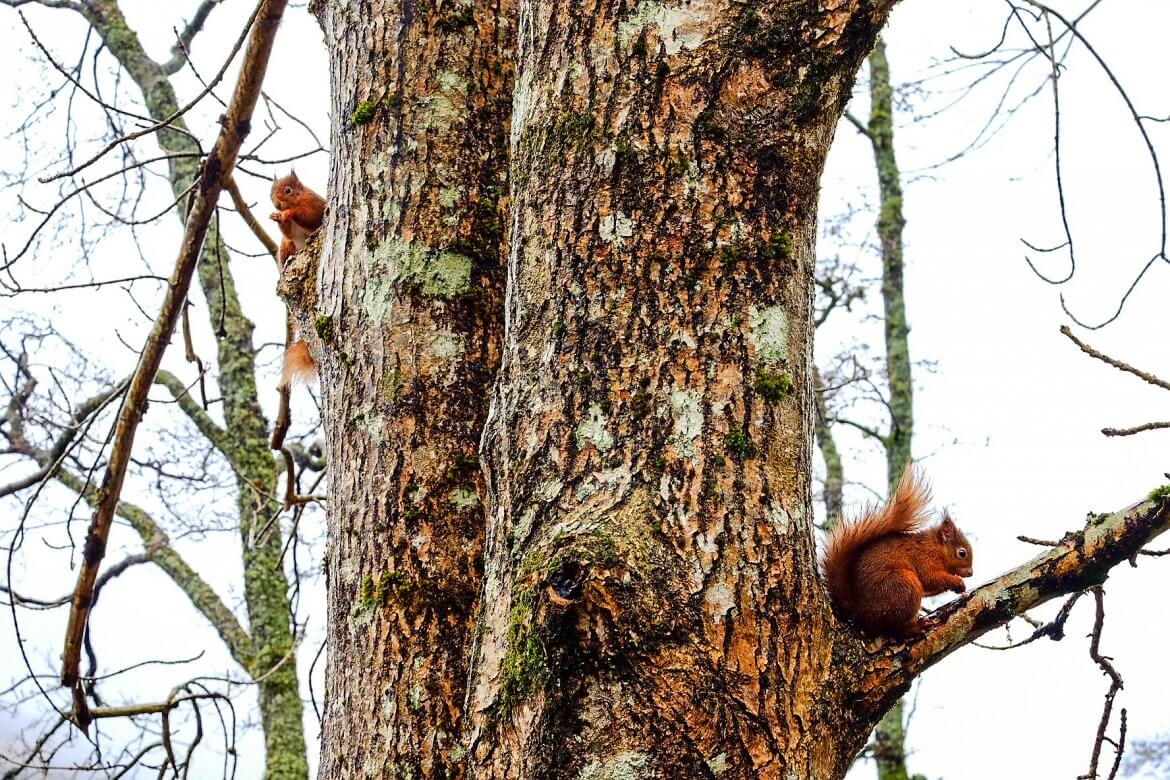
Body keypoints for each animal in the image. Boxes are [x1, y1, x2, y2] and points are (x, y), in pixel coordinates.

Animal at [270, 173, 327, 388]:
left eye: (288, 191)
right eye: (271, 192)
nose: (276, 204)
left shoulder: (314, 205)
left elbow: (308, 215)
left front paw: (287, 213)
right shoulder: (289, 235)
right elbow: (288, 232)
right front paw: (278, 217)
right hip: (286, 246)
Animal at [823, 467, 978, 636]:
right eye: (962, 553)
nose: (971, 573)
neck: (935, 548)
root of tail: (862, 613)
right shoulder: (924, 559)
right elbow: (930, 578)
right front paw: (958, 582)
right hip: (904, 586)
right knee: (897, 627)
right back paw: (918, 625)